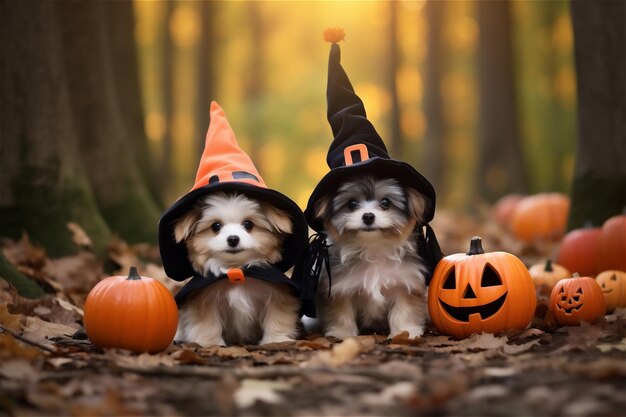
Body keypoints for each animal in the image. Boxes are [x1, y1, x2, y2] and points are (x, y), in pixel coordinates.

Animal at [158, 102, 310, 346]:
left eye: (248, 224)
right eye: (215, 226)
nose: (233, 239)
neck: (236, 271)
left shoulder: (278, 296)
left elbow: (277, 318)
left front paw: (276, 340)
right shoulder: (203, 301)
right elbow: (207, 323)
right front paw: (210, 343)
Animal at [304, 29, 442, 340]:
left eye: (386, 203)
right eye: (352, 204)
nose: (368, 216)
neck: (374, 250)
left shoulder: (405, 284)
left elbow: (404, 311)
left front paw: (405, 334)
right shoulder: (338, 290)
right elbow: (341, 314)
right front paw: (342, 336)